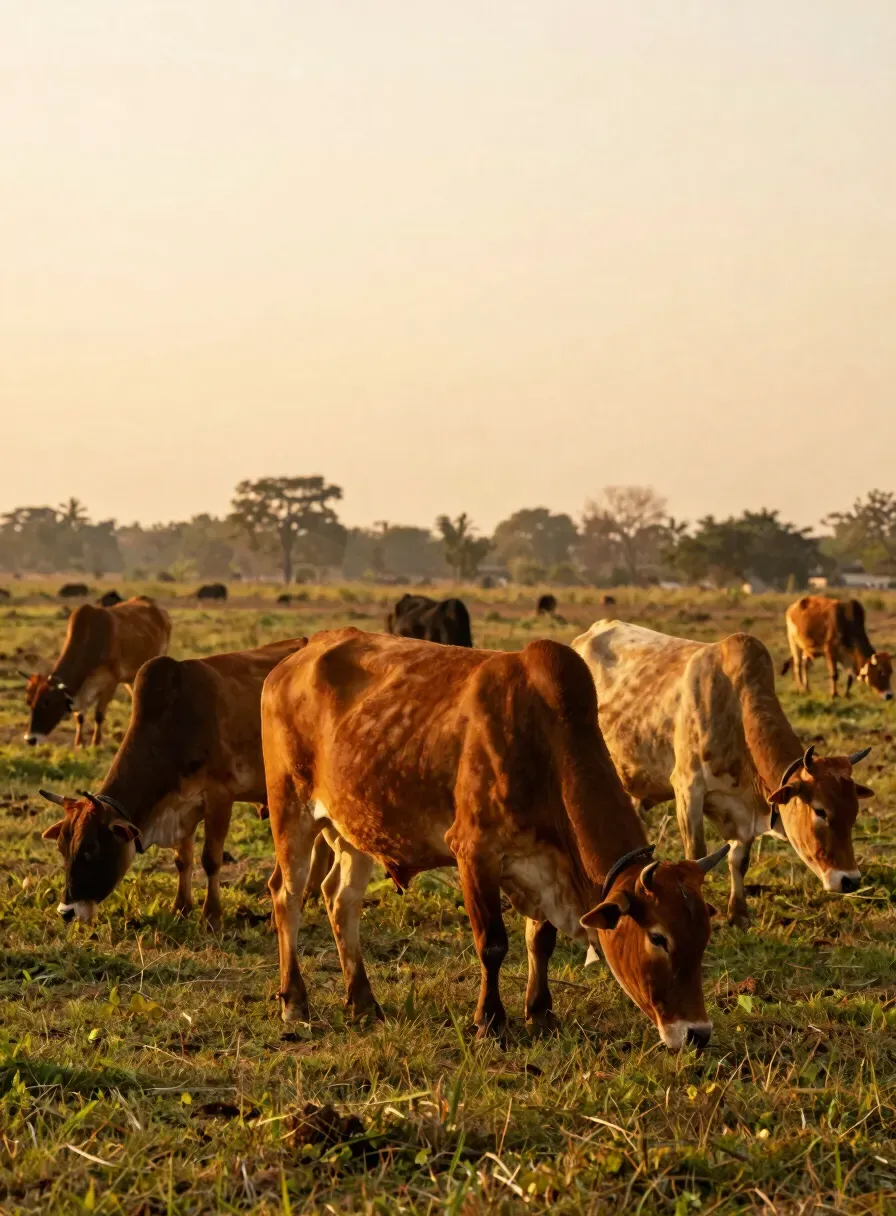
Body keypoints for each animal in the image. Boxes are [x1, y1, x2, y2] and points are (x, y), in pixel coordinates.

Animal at [23, 597, 171, 748]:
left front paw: (96, 742)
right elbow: (80, 717)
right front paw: (79, 743)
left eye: (47, 702)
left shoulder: (110, 682)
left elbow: (99, 715)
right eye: (29, 701)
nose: (30, 739)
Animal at [39, 637, 309, 931]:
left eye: (91, 848)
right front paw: (181, 908)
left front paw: (211, 917)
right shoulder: (182, 807)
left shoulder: (219, 798)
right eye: (61, 848)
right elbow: (183, 860)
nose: (66, 912)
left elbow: (210, 859)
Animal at [261, 629, 729, 1049]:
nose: (698, 1034)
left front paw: (540, 1013)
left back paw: (362, 1002)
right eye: (658, 938)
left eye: (705, 936)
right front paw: (490, 1021)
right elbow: (493, 944)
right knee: (287, 895)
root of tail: (293, 661)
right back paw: (295, 1003)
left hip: (353, 827)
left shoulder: (543, 866)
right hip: (291, 809)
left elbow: (540, 942)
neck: (546, 741)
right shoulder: (475, 853)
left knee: (341, 901)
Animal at [572, 621, 875, 926]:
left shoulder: (743, 814)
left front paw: (738, 915)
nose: (850, 880)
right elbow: (696, 855)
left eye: (854, 813)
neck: (734, 707)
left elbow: (738, 861)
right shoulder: (688, 789)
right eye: (820, 811)